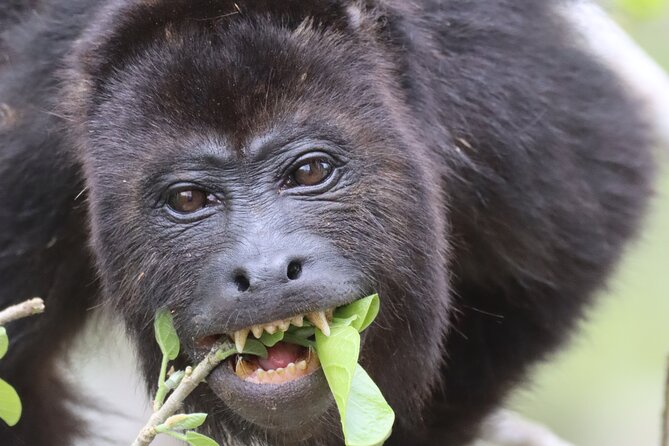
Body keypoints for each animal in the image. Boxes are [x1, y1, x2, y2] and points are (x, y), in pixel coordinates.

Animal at [0, 1, 656, 445]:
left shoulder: (504, 106)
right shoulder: (28, 154)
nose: (265, 272)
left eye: (311, 170)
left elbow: (563, 256)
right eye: (187, 199)